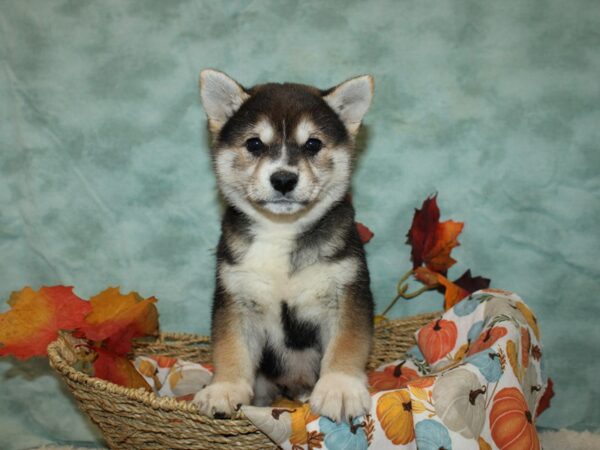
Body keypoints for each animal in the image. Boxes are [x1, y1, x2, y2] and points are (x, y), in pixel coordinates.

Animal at [193, 69, 376, 422]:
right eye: (254, 143)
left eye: (313, 144)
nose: (283, 179)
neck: (281, 232)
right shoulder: (235, 297)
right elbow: (230, 347)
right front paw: (225, 388)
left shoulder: (347, 291)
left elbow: (347, 343)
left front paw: (340, 388)